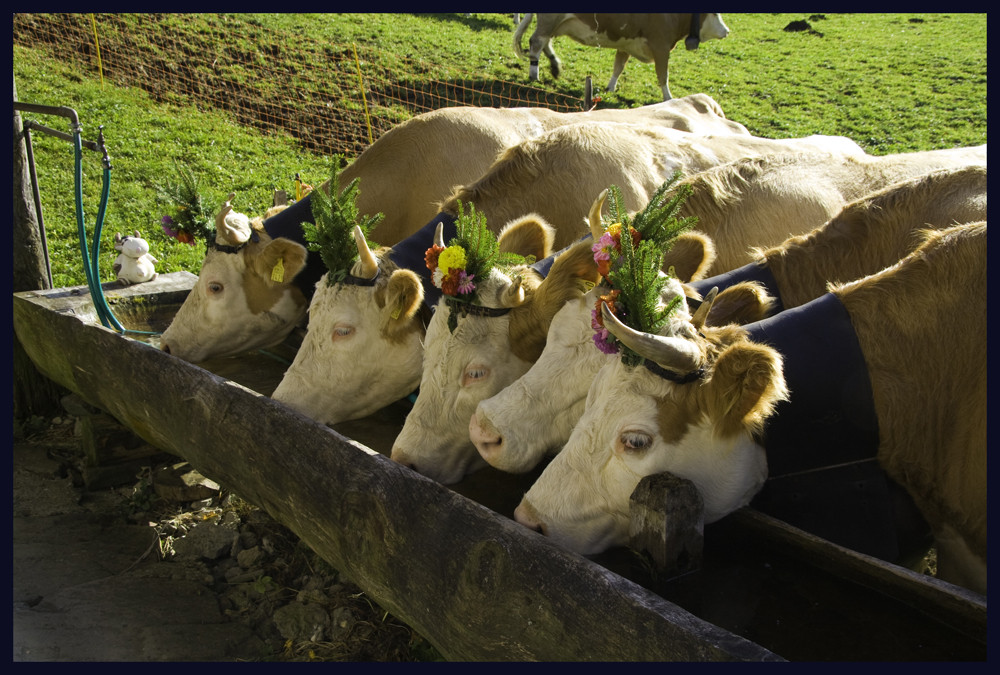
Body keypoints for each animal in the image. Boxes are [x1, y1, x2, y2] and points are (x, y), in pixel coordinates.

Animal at [512, 12, 732, 100]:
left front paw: (610, 88)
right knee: (537, 42)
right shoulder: (661, 47)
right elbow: (663, 75)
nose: (727, 31)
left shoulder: (626, 45)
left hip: (556, 24)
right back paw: (534, 74)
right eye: (714, 14)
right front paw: (668, 97)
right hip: (550, 20)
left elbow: (619, 66)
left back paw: (555, 66)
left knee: (545, 43)